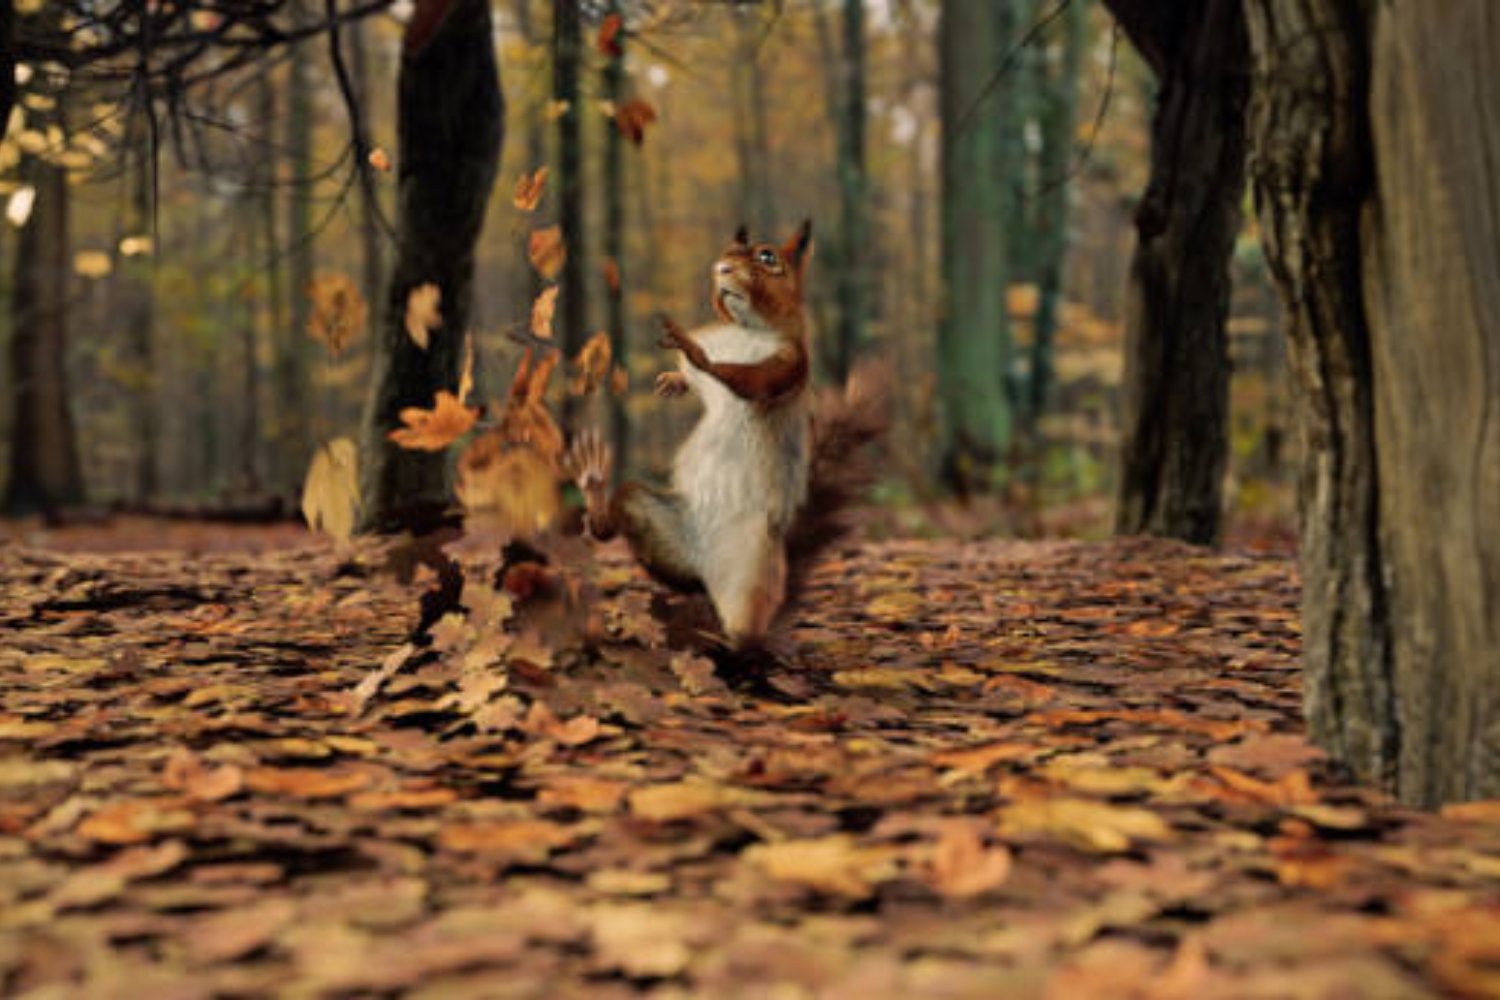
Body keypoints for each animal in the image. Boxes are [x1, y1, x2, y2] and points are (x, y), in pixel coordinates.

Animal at [567, 219, 886, 650]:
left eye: (767, 256)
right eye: (728, 251)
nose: (719, 269)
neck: (747, 330)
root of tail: (707, 572)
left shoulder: (789, 362)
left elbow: (749, 379)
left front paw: (693, 349)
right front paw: (675, 380)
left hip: (753, 572)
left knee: (747, 628)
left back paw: (732, 643)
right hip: (651, 518)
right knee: (625, 533)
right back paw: (596, 489)